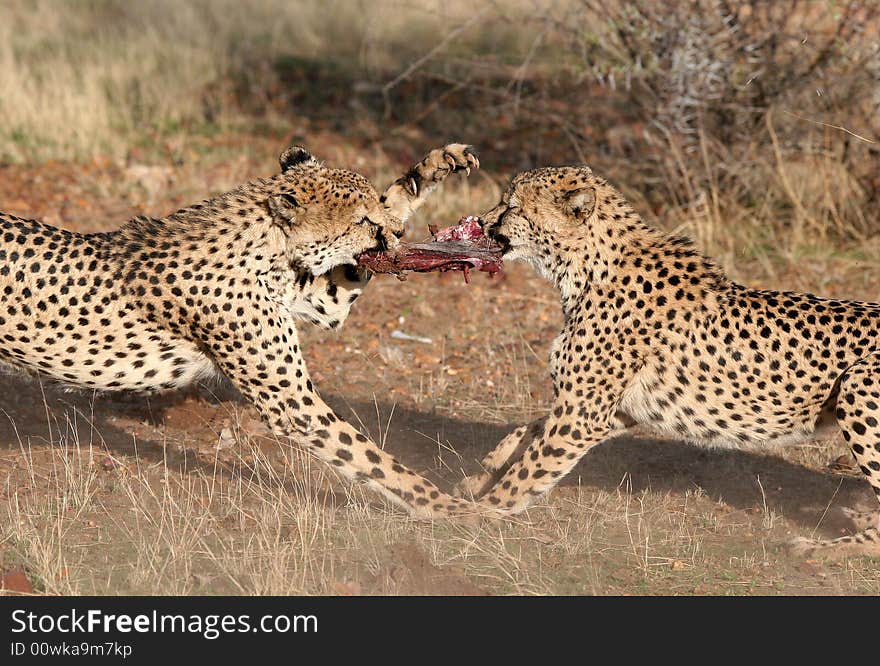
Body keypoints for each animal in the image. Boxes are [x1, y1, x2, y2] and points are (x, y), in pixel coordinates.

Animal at [0, 143, 482, 516]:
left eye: (374, 211)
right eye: (361, 221)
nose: (397, 234)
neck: (268, 243)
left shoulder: (320, 299)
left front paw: (437, 165)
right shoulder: (291, 403)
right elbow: (371, 458)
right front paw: (456, 510)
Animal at [458, 163, 880, 552]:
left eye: (512, 206)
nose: (481, 221)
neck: (585, 268)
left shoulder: (583, 414)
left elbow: (528, 472)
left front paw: (469, 513)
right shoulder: (613, 410)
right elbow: (529, 430)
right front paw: (484, 470)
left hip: (858, 387)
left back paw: (819, 548)